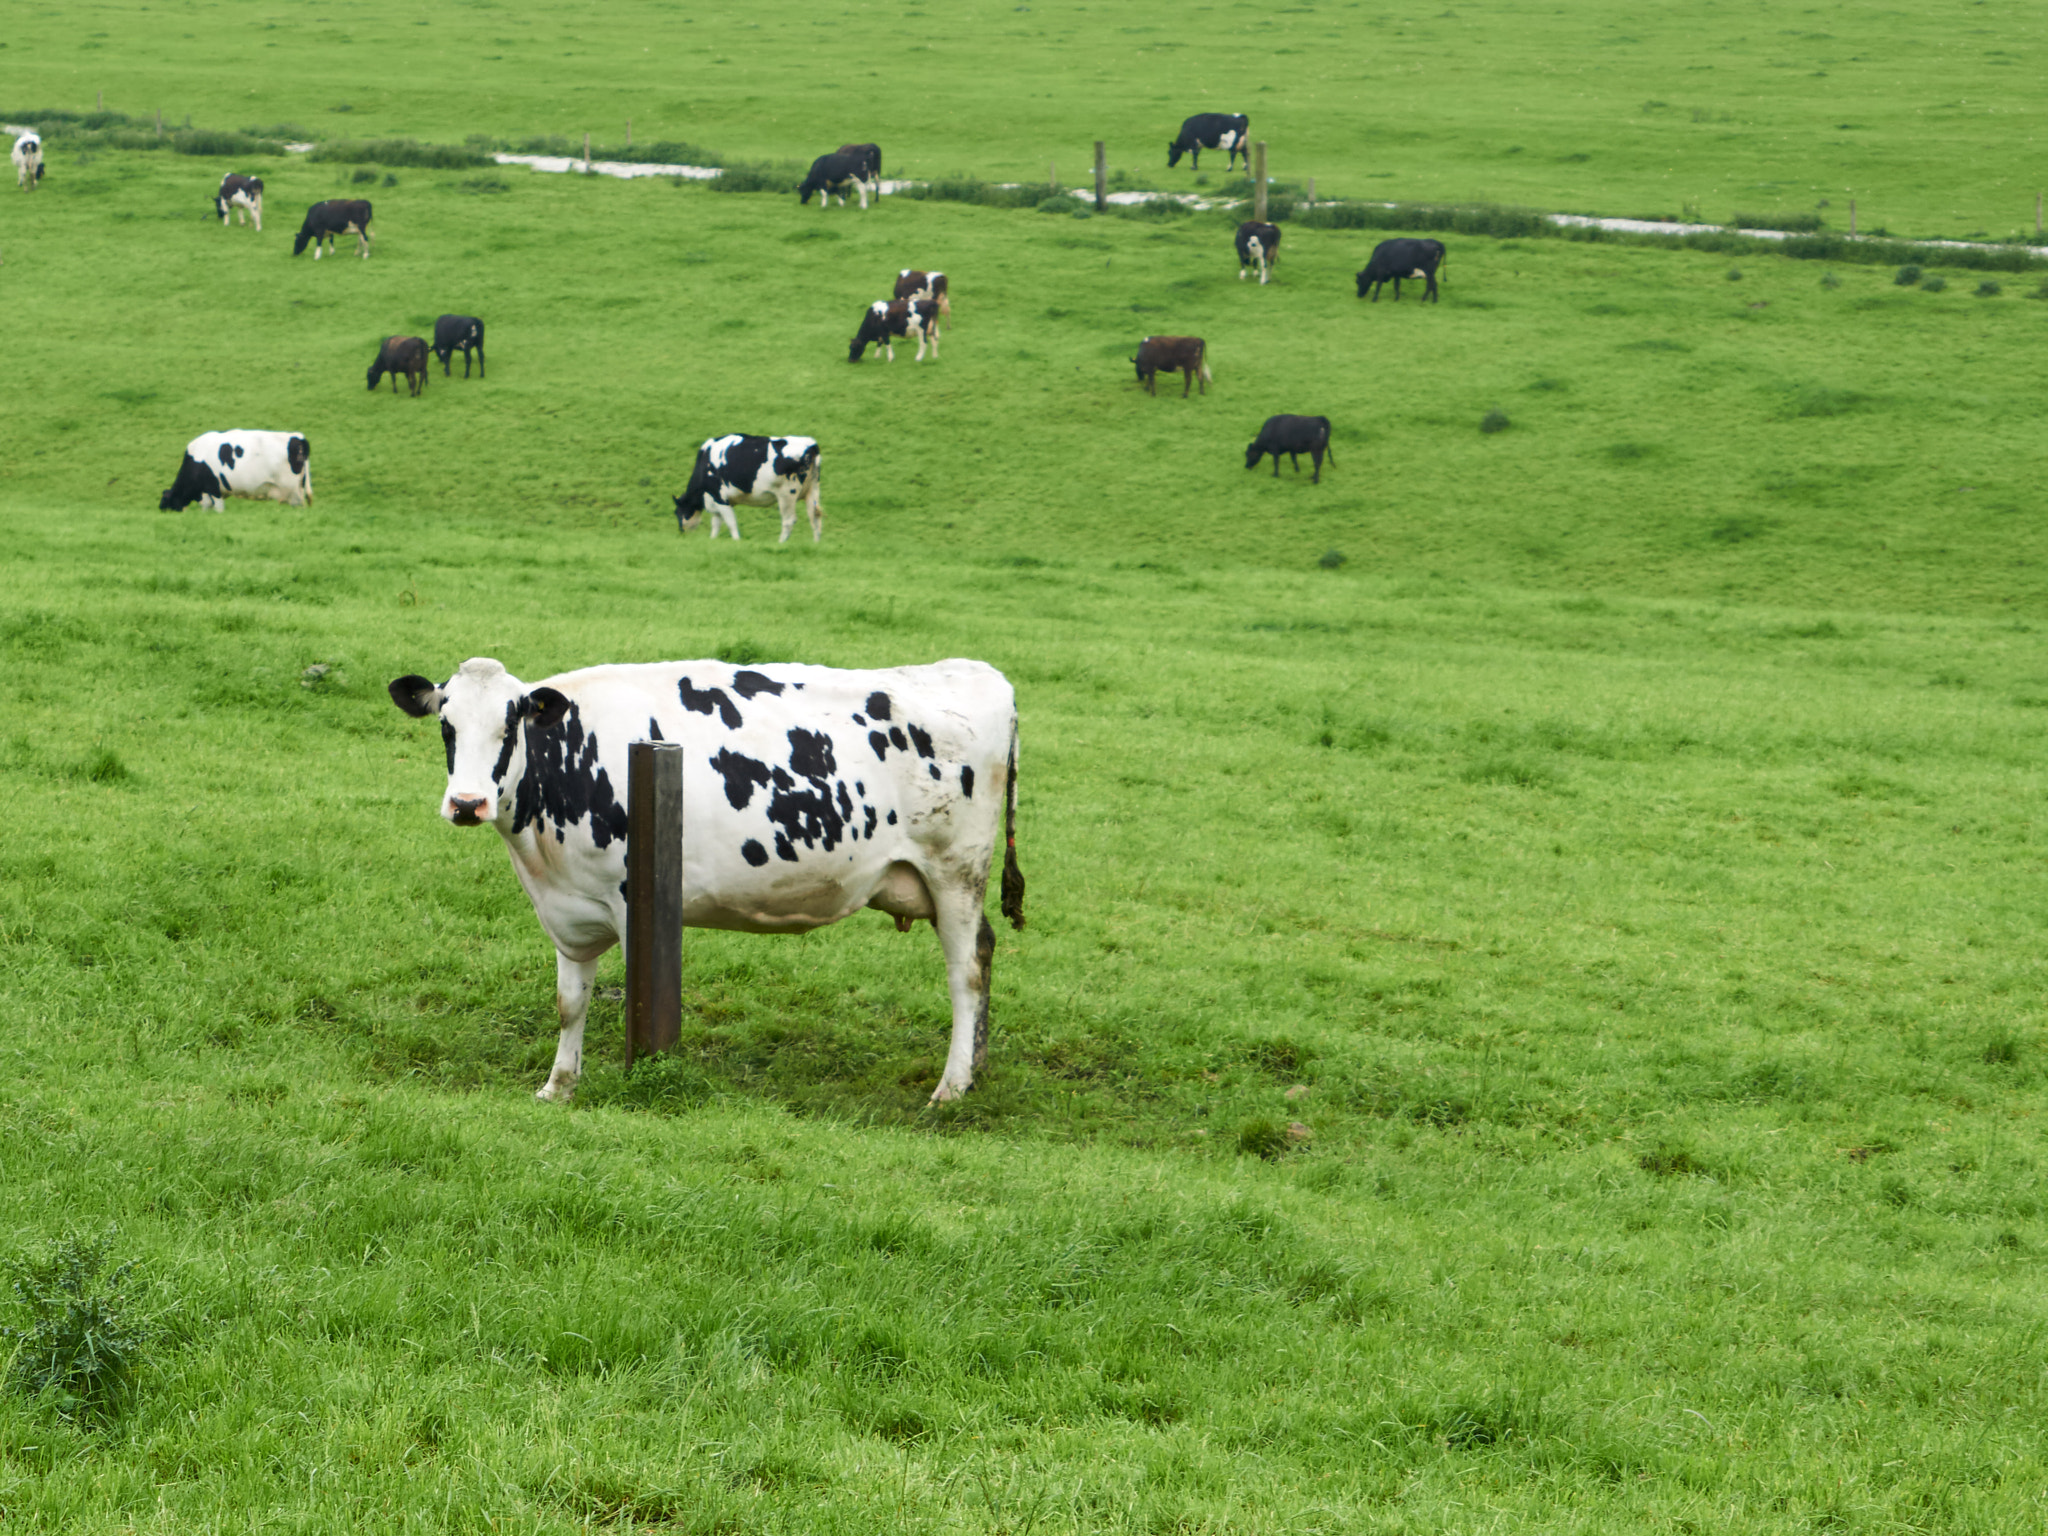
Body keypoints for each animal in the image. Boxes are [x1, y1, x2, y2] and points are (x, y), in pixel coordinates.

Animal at [157, 430, 309, 514]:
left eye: (164, 500)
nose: (161, 510)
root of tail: (297, 437)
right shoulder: (207, 493)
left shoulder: (214, 489)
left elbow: (218, 509)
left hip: (293, 490)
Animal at [385, 651, 1024, 1105]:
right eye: (446, 725)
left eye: (510, 725)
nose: (467, 804)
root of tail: (977, 673)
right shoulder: (567, 907)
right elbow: (570, 1003)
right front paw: (558, 1086)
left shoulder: (633, 900)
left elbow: (639, 996)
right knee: (987, 952)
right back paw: (977, 1069)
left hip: (956, 871)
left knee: (967, 970)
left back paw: (951, 1087)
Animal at [679, 434, 823, 548]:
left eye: (677, 512)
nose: (681, 533)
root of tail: (811, 445)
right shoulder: (715, 502)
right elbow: (716, 523)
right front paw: (712, 540)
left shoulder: (720, 498)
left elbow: (730, 522)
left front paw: (736, 541)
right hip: (813, 489)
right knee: (815, 517)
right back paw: (816, 544)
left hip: (787, 494)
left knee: (789, 521)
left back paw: (780, 543)